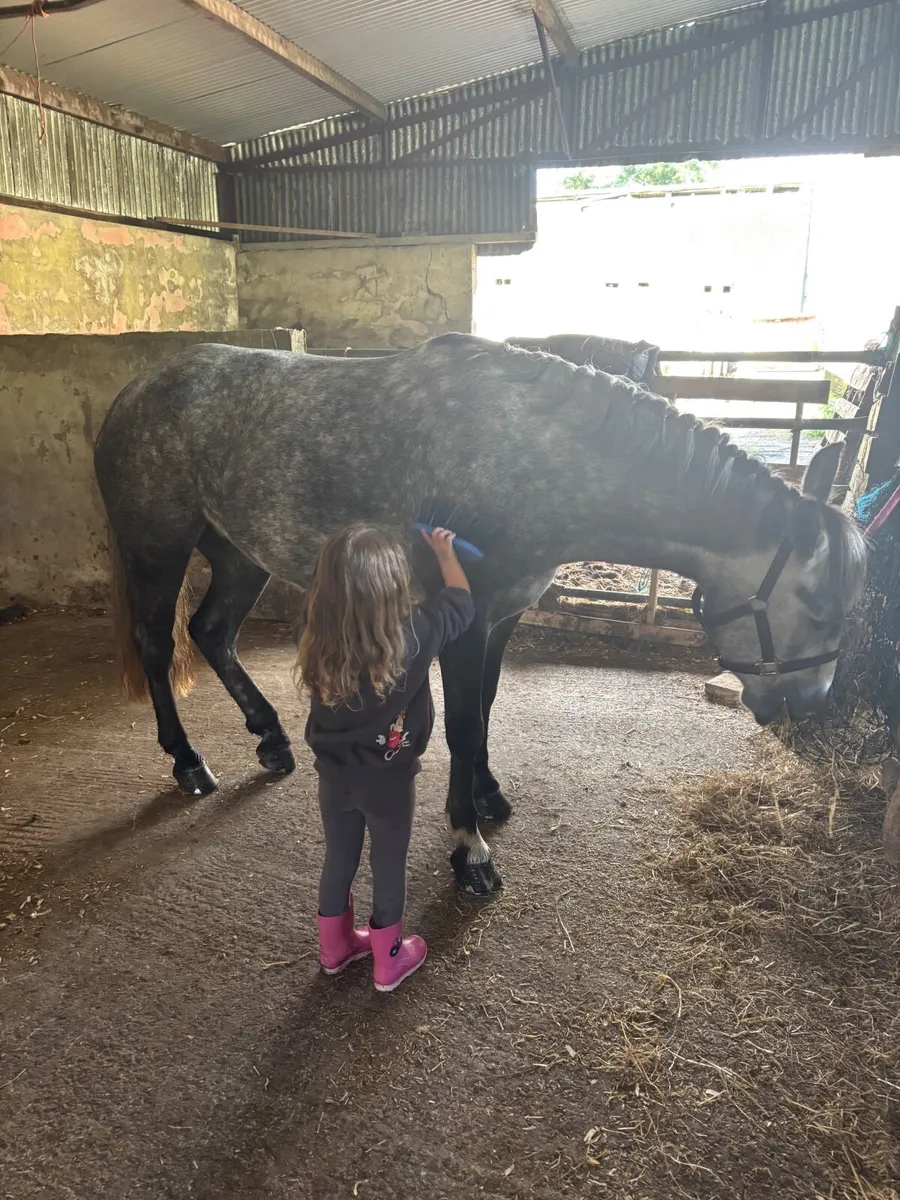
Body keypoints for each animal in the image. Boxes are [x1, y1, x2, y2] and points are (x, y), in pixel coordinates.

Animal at [93, 333, 865, 895]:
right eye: (819, 605)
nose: (811, 705)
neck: (533, 459)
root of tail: (131, 394)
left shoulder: (502, 619)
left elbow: (487, 709)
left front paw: (488, 795)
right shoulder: (462, 620)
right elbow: (463, 725)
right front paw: (470, 849)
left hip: (237, 554)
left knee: (213, 633)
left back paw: (273, 740)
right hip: (158, 549)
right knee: (159, 646)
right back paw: (189, 763)